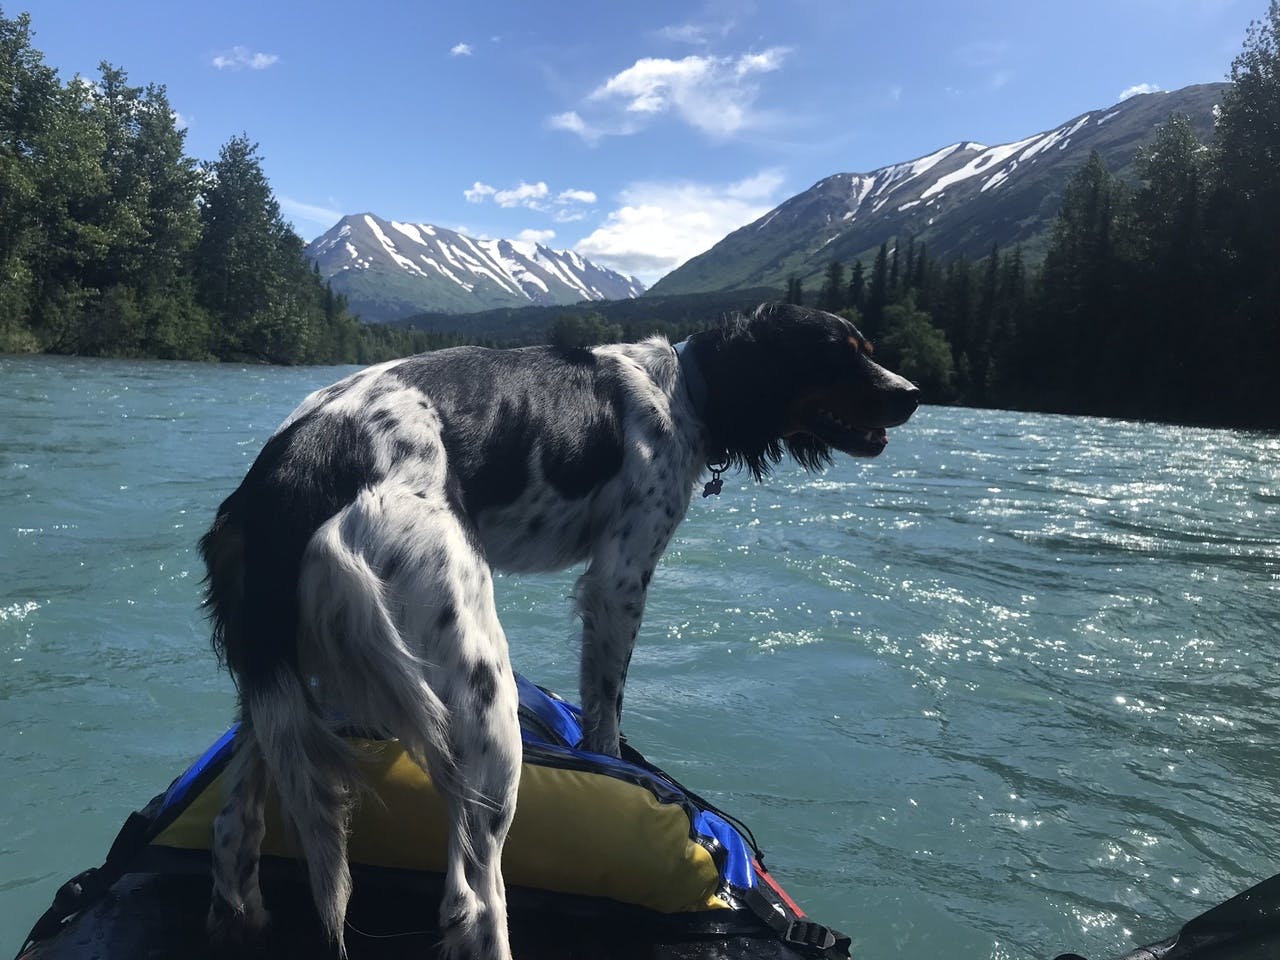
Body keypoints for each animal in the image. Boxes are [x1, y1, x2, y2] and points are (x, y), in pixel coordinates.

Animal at [199, 302, 921, 960]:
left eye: (865, 347)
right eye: (840, 352)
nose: (913, 393)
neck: (683, 388)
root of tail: (297, 467)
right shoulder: (621, 575)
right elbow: (607, 707)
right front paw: (610, 759)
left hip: (281, 687)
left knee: (235, 830)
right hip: (480, 688)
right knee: (472, 898)